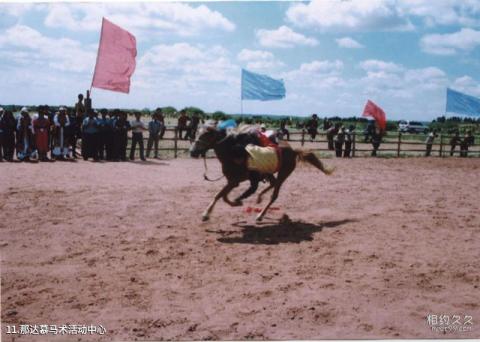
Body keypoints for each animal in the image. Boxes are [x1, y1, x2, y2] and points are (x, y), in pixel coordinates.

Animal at [188, 125, 334, 222]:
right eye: (196, 134)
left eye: (205, 135)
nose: (192, 152)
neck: (232, 152)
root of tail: (293, 151)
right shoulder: (232, 181)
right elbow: (222, 196)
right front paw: (236, 202)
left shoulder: (235, 181)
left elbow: (219, 195)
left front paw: (206, 214)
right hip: (269, 172)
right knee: (272, 184)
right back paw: (259, 198)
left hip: (283, 174)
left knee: (274, 195)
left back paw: (260, 215)